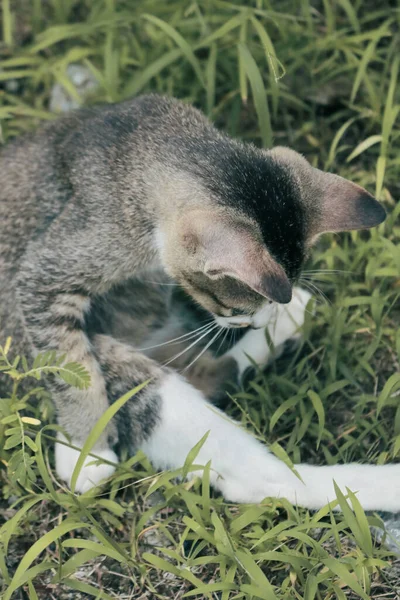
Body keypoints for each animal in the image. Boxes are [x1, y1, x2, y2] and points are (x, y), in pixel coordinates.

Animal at [0, 94, 396, 510]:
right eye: (236, 310)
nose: (257, 322)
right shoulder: (46, 270)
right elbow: (68, 366)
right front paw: (86, 450)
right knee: (256, 475)